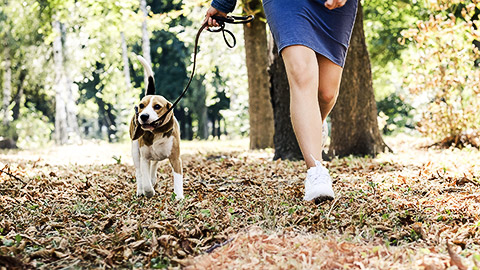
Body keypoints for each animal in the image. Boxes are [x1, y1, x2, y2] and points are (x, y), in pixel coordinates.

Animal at [129, 55, 184, 198]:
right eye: (141, 105)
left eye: (157, 106)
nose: (143, 116)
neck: (156, 133)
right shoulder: (144, 158)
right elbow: (146, 180)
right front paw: (148, 192)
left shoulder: (175, 158)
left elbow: (178, 179)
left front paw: (179, 197)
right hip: (135, 152)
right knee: (139, 173)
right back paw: (140, 190)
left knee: (155, 164)